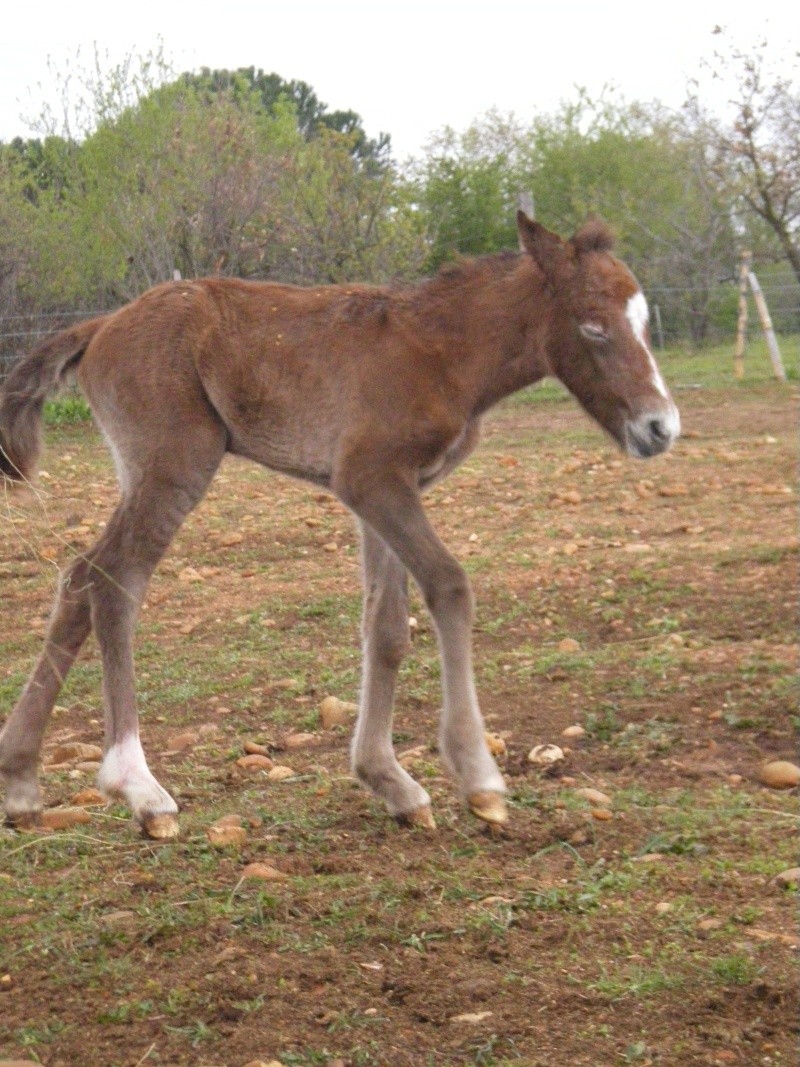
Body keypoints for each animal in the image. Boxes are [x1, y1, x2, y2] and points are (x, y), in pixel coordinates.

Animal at [0, 212, 678, 836]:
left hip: (143, 474)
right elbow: (450, 586)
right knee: (114, 582)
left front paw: (392, 782)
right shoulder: (372, 480)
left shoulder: (386, 493)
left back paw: (21, 780)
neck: (441, 351)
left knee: (78, 580)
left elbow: (386, 627)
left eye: (645, 322)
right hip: (174, 466)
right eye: (593, 326)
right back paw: (140, 788)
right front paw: (478, 778)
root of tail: (101, 326)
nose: (660, 428)